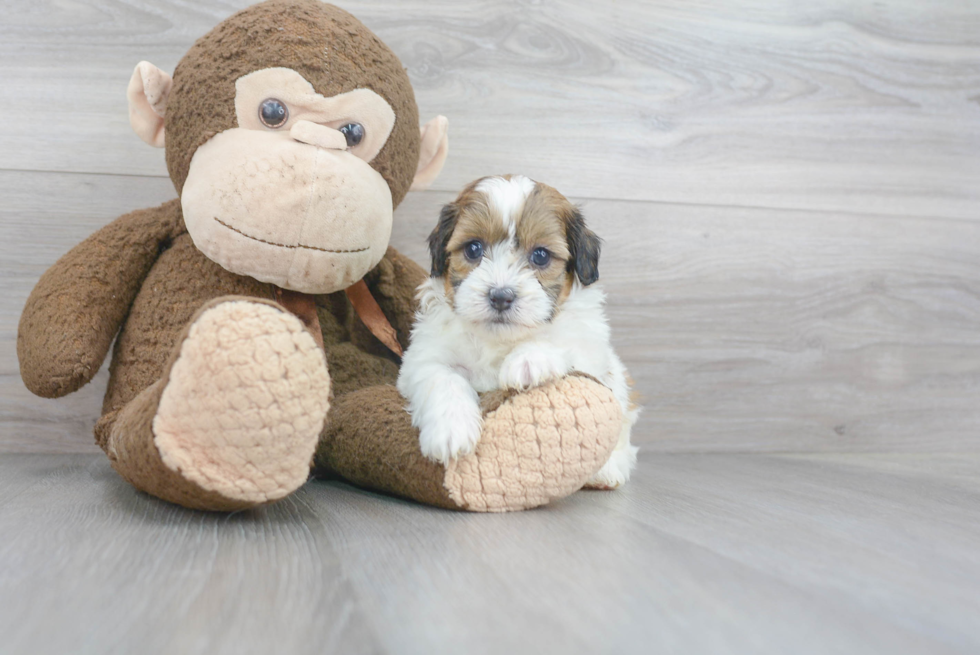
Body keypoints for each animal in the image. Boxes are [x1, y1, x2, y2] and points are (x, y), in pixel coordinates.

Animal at [394, 173, 640, 486]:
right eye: (473, 249)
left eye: (541, 255)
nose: (501, 296)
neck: (500, 340)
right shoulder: (423, 358)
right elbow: (443, 378)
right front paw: (451, 430)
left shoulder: (589, 349)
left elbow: (560, 338)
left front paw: (528, 360)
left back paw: (607, 471)